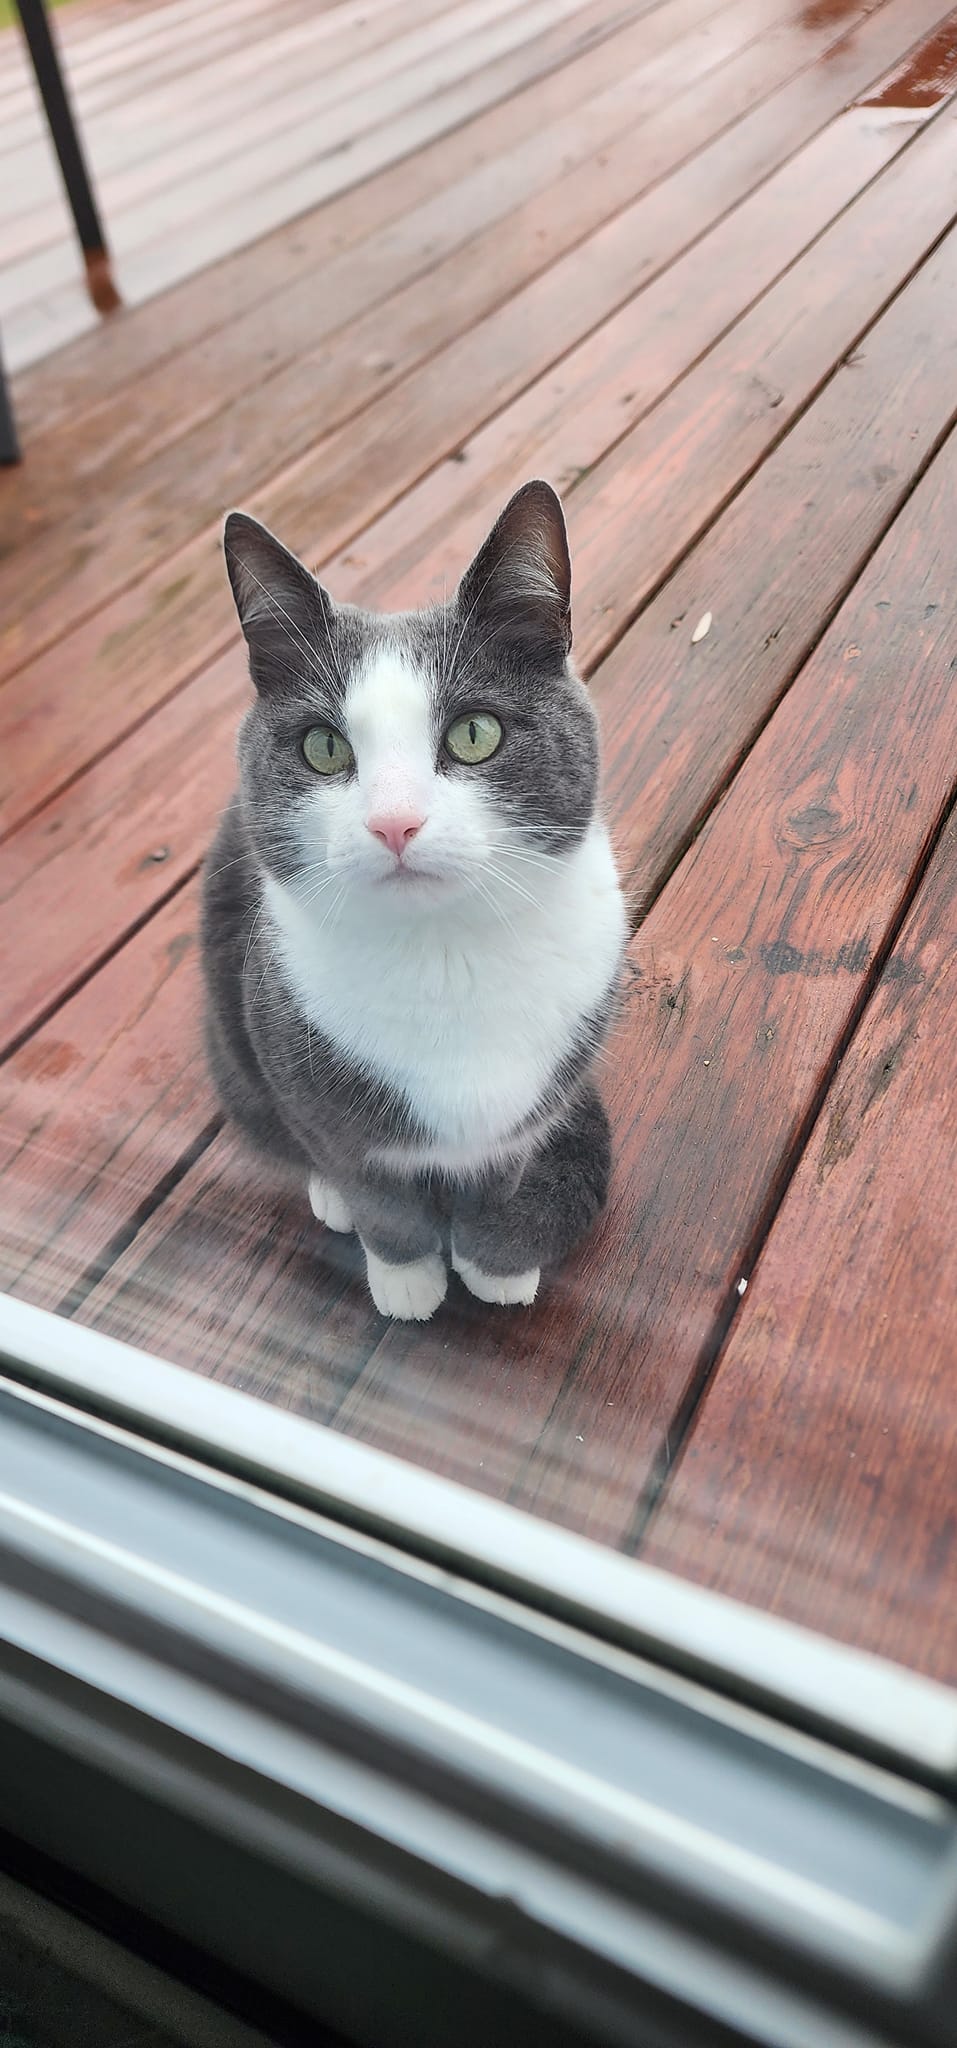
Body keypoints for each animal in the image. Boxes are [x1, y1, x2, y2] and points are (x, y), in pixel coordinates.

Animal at [200, 479, 631, 1318]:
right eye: (323, 747)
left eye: (474, 734)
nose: (393, 823)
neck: (444, 955)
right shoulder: (316, 1090)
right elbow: (380, 1196)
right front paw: (407, 1280)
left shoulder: (525, 1118)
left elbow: (495, 1183)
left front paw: (492, 1264)